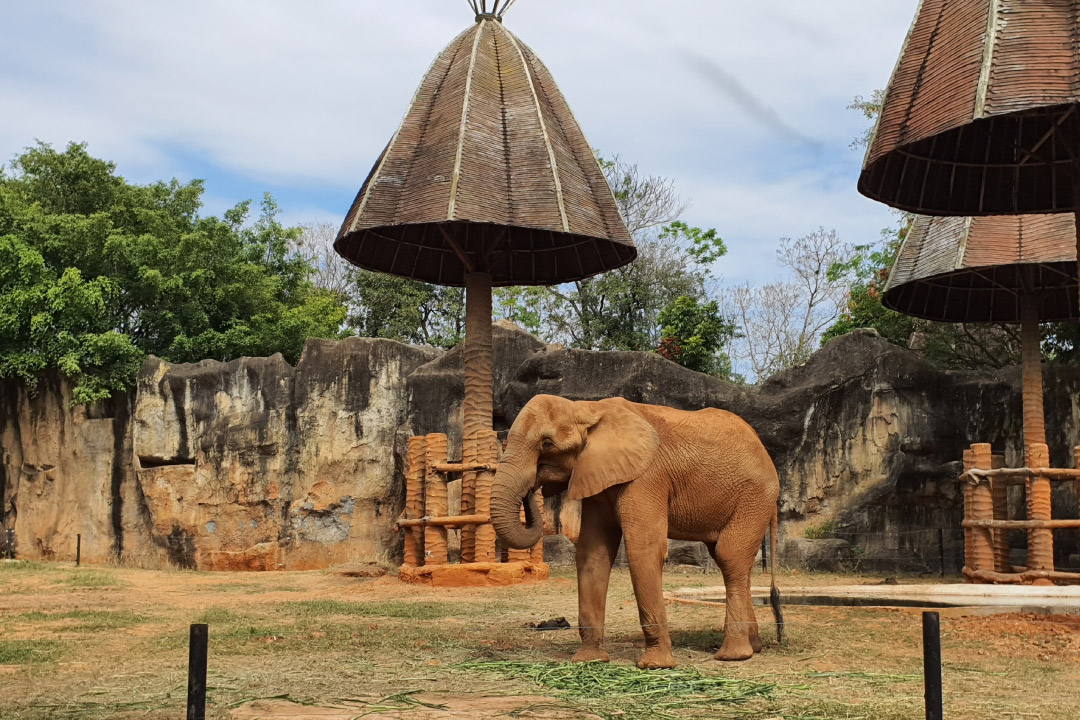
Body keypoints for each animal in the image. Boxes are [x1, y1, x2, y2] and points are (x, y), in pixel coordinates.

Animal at [492, 395, 786, 669]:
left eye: (546, 444)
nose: (532, 488)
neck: (586, 407)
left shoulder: (647, 478)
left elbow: (642, 550)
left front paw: (655, 666)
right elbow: (593, 553)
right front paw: (589, 660)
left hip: (755, 496)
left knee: (729, 556)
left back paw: (733, 655)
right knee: (732, 561)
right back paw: (754, 647)